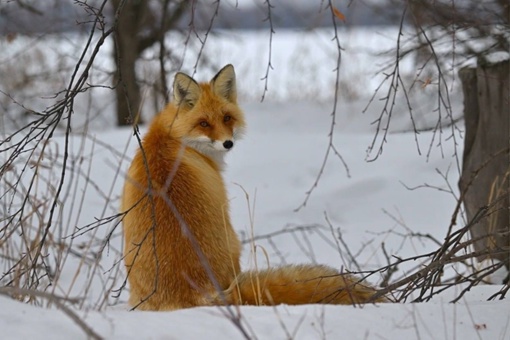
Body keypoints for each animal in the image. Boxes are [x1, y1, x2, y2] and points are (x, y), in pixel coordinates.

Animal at [122, 64, 386, 310]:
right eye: (203, 123)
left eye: (227, 118)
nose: (227, 143)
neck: (172, 137)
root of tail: (196, 294)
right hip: (234, 242)